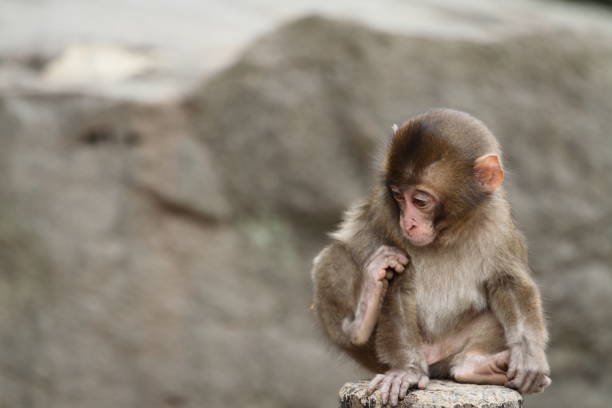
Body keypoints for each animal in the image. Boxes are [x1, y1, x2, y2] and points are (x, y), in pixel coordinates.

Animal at [310, 107, 548, 404]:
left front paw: (529, 356)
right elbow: (399, 288)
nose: (408, 223)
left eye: (420, 201)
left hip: (449, 351)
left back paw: (475, 365)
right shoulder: (388, 219)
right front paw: (407, 371)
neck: (448, 231)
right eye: (398, 196)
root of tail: (435, 364)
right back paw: (359, 322)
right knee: (333, 256)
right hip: (377, 355)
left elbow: (509, 283)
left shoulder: (498, 220)